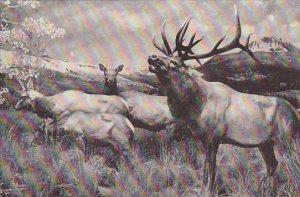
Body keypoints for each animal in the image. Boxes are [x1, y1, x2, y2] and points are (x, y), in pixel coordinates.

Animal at [148, 6, 300, 191]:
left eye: (175, 63)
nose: (153, 57)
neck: (195, 107)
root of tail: (295, 113)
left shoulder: (213, 137)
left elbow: (210, 173)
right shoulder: (203, 139)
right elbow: (206, 172)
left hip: (287, 137)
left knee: (293, 164)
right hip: (265, 143)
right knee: (272, 164)